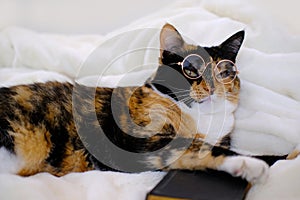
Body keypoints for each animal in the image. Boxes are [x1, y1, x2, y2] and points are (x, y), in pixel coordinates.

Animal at [0, 23, 282, 183]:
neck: (202, 119)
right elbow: (198, 148)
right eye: (190, 68)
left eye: (224, 71)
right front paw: (252, 164)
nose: (212, 87)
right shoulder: (136, 141)